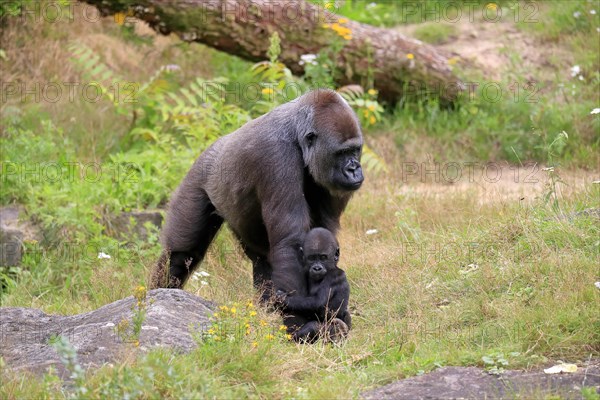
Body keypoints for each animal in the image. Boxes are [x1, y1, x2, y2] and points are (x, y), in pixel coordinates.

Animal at [151, 88, 366, 300]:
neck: (297, 135)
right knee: (181, 253)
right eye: (341, 153)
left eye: (355, 150)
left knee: (261, 258)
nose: (354, 169)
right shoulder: (276, 157)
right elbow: (291, 242)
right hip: (197, 176)